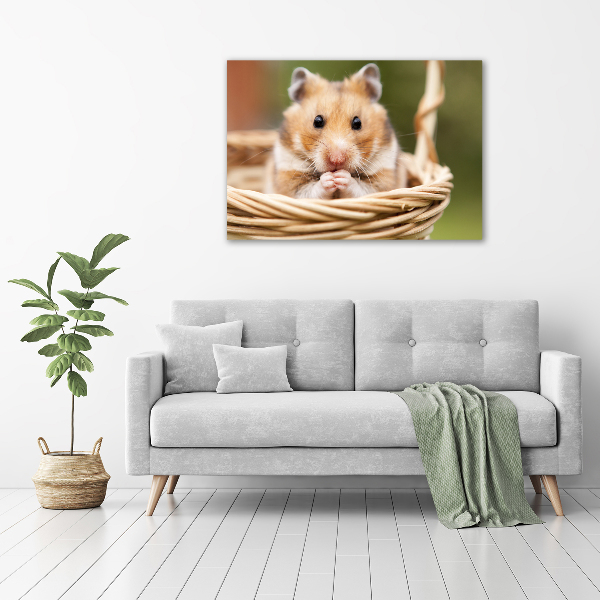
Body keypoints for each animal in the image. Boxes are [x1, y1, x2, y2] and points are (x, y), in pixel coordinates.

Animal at [268, 63, 406, 199]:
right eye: (317, 121)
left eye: (358, 123)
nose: (337, 160)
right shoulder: (288, 176)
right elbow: (309, 191)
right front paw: (329, 179)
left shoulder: (383, 176)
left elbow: (362, 189)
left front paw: (341, 177)